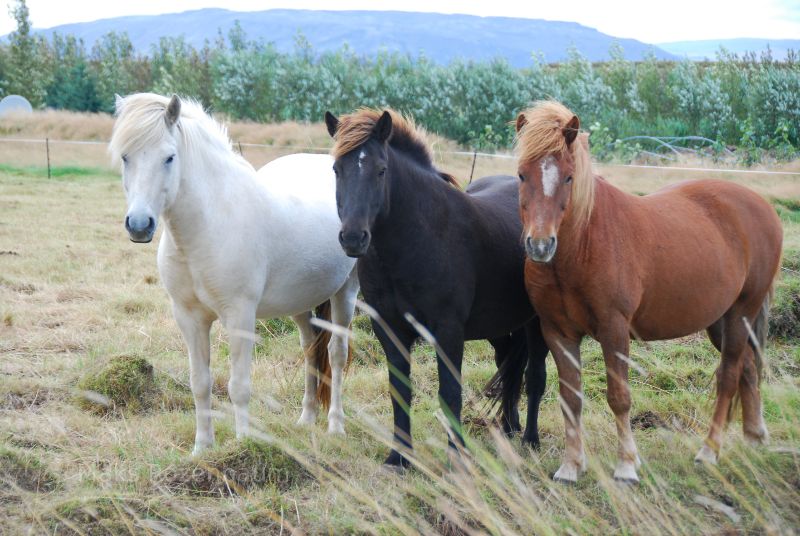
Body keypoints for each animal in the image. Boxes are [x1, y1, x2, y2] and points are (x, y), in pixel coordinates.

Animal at [109, 94, 360, 454]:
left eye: (169, 157)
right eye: (125, 157)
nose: (140, 225)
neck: (210, 224)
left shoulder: (240, 316)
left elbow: (239, 386)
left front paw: (244, 445)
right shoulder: (189, 318)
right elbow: (200, 383)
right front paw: (202, 448)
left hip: (345, 294)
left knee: (336, 354)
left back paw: (335, 426)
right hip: (300, 303)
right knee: (311, 349)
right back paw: (306, 419)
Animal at [324, 109, 552, 468]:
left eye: (381, 170)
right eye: (337, 170)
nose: (353, 238)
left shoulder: (448, 331)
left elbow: (450, 393)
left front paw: (456, 459)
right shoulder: (389, 328)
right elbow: (399, 390)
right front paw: (399, 457)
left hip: (537, 323)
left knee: (535, 378)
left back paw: (530, 441)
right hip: (500, 327)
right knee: (509, 368)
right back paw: (508, 429)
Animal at [512, 99, 780, 482]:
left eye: (568, 177)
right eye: (522, 175)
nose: (540, 245)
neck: (582, 246)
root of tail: (760, 205)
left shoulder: (614, 330)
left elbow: (619, 397)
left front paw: (626, 465)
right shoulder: (558, 333)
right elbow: (571, 398)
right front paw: (571, 466)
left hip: (743, 312)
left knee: (729, 376)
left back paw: (709, 451)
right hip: (721, 321)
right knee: (746, 368)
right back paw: (754, 437)